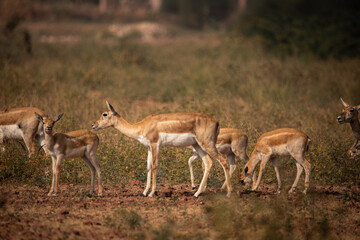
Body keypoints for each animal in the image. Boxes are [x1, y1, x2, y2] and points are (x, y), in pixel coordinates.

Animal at [91, 101, 232, 197]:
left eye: (105, 114)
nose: (93, 125)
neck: (142, 126)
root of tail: (217, 122)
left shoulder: (155, 145)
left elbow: (154, 166)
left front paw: (151, 193)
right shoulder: (149, 147)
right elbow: (148, 167)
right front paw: (144, 192)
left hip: (207, 144)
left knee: (223, 161)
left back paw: (228, 193)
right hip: (198, 146)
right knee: (208, 162)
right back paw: (197, 193)